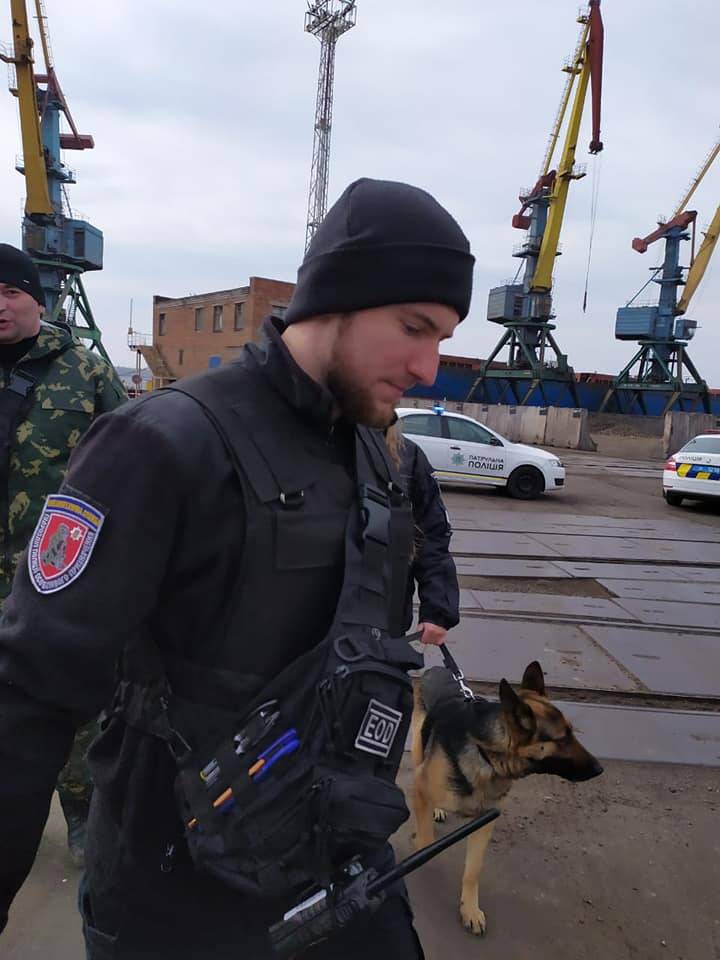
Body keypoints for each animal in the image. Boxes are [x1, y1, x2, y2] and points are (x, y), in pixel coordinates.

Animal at [410, 664, 600, 932]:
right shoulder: (419, 786)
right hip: (418, 745)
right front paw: (420, 850)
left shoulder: (485, 821)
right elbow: (426, 841)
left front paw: (469, 909)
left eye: (572, 732)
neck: (487, 754)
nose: (600, 768)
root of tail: (437, 668)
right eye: (561, 739)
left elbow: (473, 870)